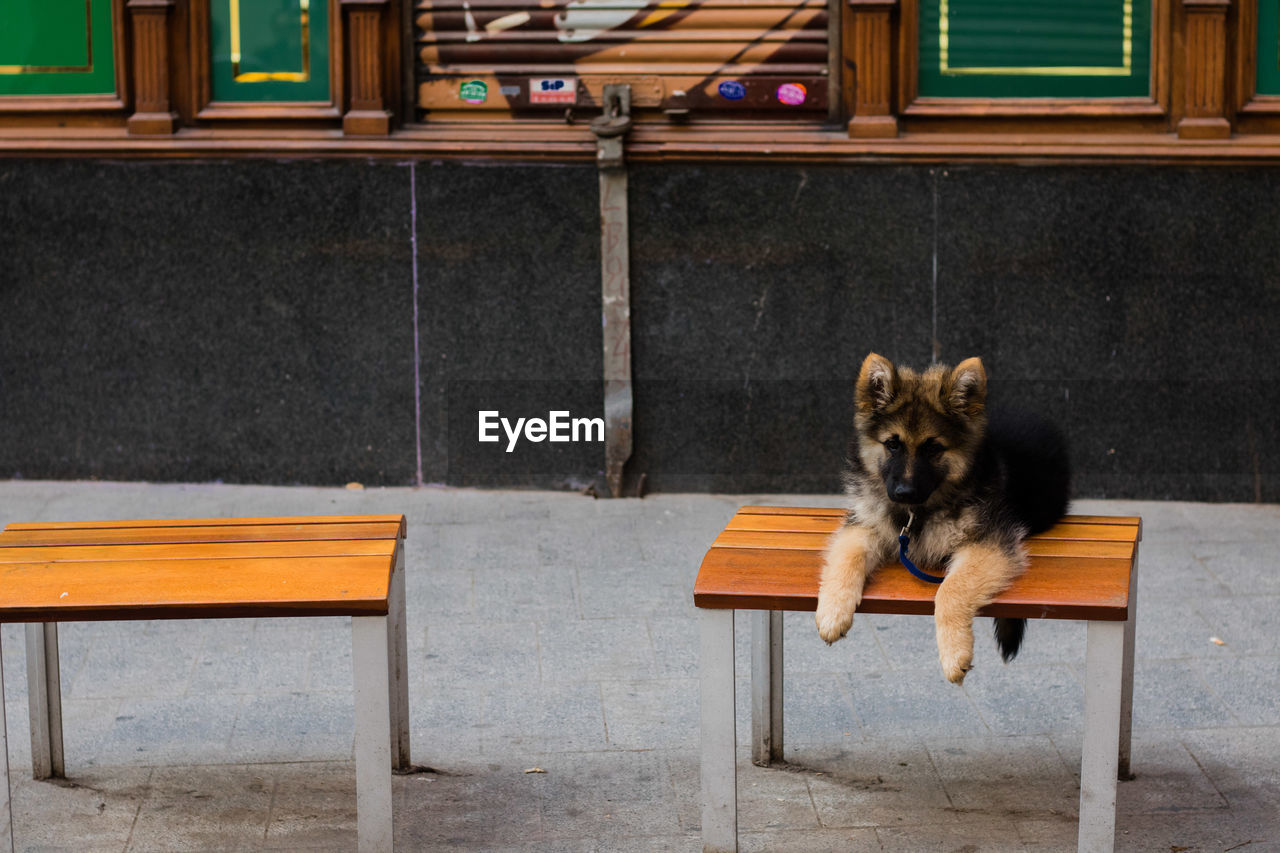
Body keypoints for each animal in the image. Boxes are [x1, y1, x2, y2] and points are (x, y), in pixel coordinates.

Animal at [819, 353, 1070, 686]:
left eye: (933, 448)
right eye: (892, 444)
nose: (904, 492)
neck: (918, 512)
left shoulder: (990, 542)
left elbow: (950, 589)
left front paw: (954, 654)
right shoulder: (864, 524)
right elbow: (846, 558)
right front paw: (833, 612)